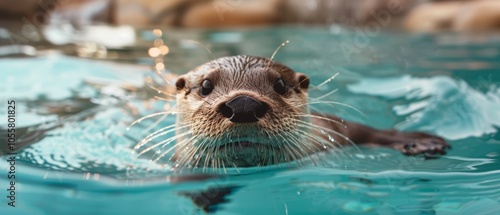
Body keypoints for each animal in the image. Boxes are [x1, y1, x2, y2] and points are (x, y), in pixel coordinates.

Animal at [140, 55, 450, 170]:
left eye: (279, 84)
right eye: (205, 85)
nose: (243, 104)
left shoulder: (331, 130)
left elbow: (364, 131)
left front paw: (422, 141)